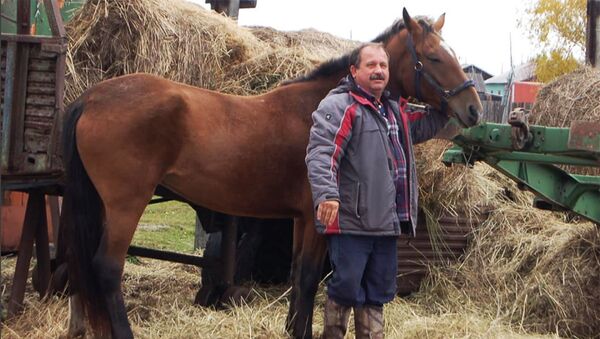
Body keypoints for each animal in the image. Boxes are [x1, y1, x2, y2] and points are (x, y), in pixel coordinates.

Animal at [59, 8, 482, 339]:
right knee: (107, 268)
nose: (474, 109)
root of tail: (92, 97)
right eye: (434, 57)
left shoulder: (300, 219)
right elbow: (309, 278)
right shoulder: (317, 218)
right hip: (127, 203)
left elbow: (296, 276)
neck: (319, 107)